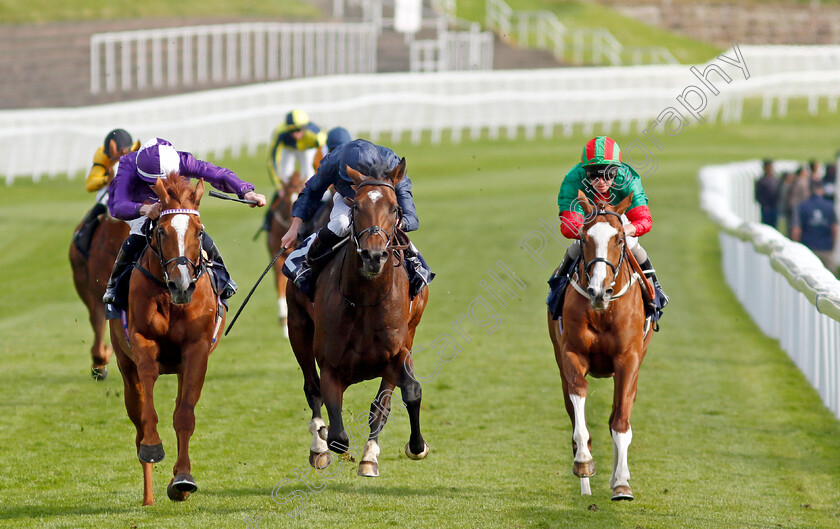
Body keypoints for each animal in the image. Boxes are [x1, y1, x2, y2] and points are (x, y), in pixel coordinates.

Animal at [110, 173, 225, 504]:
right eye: (161, 231)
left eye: (199, 232)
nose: (182, 284)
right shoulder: (141, 340)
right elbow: (148, 390)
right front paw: (152, 445)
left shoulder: (196, 350)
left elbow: (184, 415)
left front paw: (183, 478)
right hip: (125, 368)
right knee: (137, 420)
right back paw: (148, 494)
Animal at [288, 159, 434, 476]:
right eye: (356, 207)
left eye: (394, 208)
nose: (373, 255)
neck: (366, 301)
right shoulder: (330, 364)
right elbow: (336, 433)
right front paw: (326, 442)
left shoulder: (397, 353)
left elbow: (404, 396)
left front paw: (411, 447)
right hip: (298, 329)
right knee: (311, 388)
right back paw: (318, 447)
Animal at [548, 192, 652, 502]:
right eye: (584, 239)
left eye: (619, 239)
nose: (598, 292)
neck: (603, 311)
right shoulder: (572, 354)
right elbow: (579, 398)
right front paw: (583, 463)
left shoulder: (628, 360)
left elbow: (620, 422)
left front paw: (621, 483)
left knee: (620, 415)